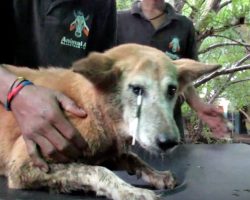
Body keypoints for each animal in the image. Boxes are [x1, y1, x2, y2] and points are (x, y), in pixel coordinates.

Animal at [0, 44, 219, 200]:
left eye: (172, 90)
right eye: (136, 89)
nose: (170, 142)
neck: (91, 107)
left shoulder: (104, 152)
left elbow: (132, 157)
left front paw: (157, 175)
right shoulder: (23, 166)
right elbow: (97, 171)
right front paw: (130, 191)